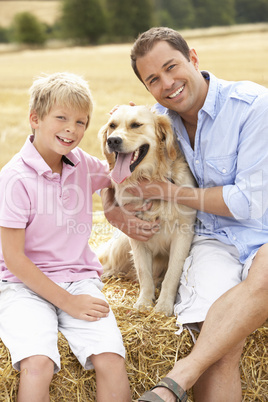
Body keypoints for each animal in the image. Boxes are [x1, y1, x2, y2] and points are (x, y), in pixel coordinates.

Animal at [97, 106, 196, 318]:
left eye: (136, 125)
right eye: (112, 125)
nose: (113, 141)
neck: (151, 177)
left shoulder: (183, 234)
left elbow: (172, 274)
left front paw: (163, 306)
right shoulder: (135, 233)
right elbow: (144, 272)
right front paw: (144, 302)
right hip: (121, 244)